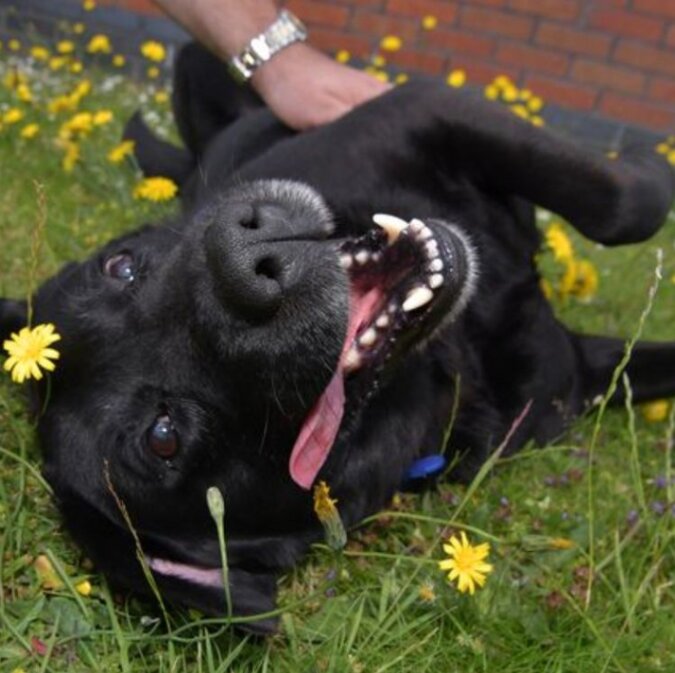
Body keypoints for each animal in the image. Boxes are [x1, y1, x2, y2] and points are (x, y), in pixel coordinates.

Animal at [1, 43, 675, 632]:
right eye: (163, 437)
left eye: (121, 267)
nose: (241, 258)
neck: (454, 364)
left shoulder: (416, 110)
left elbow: (621, 204)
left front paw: (650, 160)